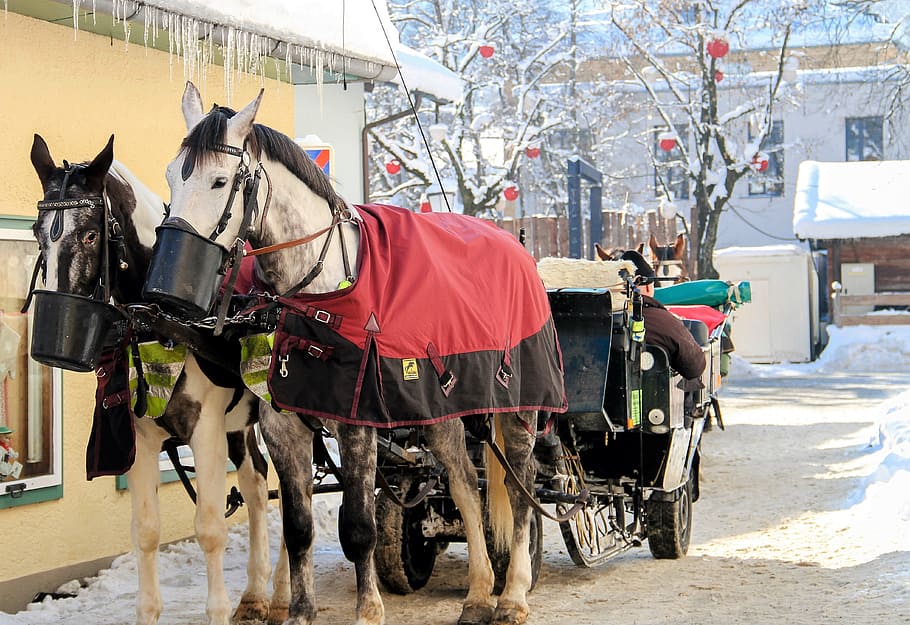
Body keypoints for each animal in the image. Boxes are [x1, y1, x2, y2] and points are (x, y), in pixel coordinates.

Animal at [28, 134, 289, 625]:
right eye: (37, 232)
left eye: (90, 234)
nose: (56, 344)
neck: (164, 322)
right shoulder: (141, 438)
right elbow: (146, 532)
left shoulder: (205, 431)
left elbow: (209, 528)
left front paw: (217, 610)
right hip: (242, 426)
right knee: (257, 485)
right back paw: (256, 594)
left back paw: (282, 591)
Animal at [149, 81, 565, 625]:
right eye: (171, 175)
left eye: (220, 181)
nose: (169, 290)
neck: (319, 290)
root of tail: (514, 245)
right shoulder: (283, 426)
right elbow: (299, 527)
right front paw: (299, 610)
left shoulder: (357, 422)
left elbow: (359, 527)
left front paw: (368, 608)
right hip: (439, 410)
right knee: (461, 483)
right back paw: (478, 594)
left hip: (517, 408)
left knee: (519, 491)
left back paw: (512, 594)